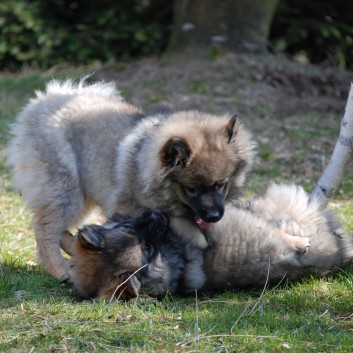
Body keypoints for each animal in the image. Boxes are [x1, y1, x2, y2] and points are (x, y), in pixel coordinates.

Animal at [6, 78, 253, 280]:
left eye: (221, 185)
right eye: (191, 189)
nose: (213, 216)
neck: (144, 165)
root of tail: (44, 101)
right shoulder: (131, 209)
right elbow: (176, 222)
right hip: (65, 190)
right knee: (45, 229)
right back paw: (60, 270)